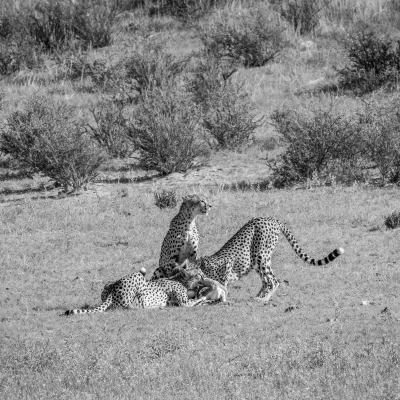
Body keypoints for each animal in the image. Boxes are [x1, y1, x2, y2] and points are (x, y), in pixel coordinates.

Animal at [66, 268, 203, 314]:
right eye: (198, 274)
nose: (204, 276)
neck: (179, 279)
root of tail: (112, 289)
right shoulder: (184, 303)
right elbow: (193, 301)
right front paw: (203, 299)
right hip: (138, 276)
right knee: (131, 306)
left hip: (108, 284)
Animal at [188, 217, 344, 302]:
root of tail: (271, 218)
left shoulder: (225, 271)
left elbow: (222, 287)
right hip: (256, 260)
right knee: (266, 281)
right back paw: (258, 296)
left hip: (262, 256)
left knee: (273, 280)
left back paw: (263, 299)